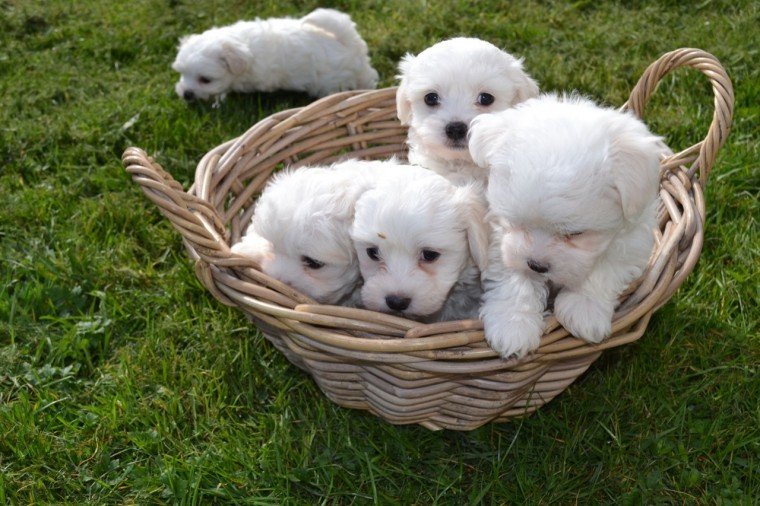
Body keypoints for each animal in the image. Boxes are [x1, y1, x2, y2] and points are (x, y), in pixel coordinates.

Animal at [174, 8, 380, 101]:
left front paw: (220, 99)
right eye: (182, 74)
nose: (187, 94)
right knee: (368, 77)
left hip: (332, 81)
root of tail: (345, 40)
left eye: (205, 80)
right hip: (359, 68)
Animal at [470, 94, 664, 356]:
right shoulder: (500, 239)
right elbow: (512, 275)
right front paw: (513, 323)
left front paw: (584, 308)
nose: (537, 265)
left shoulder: (631, 241)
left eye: (575, 234)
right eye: (516, 223)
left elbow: (606, 267)